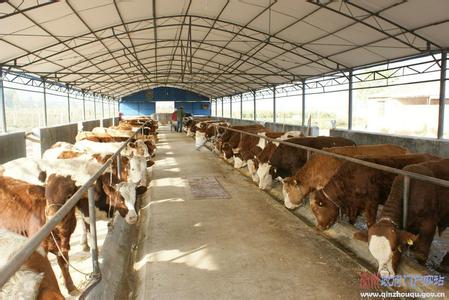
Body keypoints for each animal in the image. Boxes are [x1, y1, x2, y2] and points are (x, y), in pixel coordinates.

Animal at [308, 152, 438, 230]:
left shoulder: (372, 203)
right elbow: (352, 220)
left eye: (318, 208)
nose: (319, 227)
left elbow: (370, 223)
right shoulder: (355, 205)